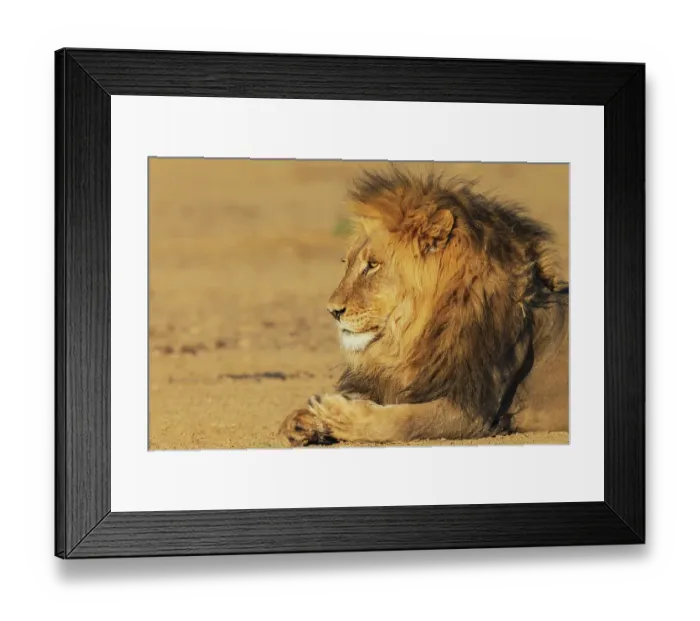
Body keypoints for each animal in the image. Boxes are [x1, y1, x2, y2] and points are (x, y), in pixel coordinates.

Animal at [279, 168, 569, 446]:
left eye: (372, 265)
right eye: (347, 263)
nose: (333, 311)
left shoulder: (472, 409)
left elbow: (402, 420)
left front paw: (337, 413)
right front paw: (302, 420)